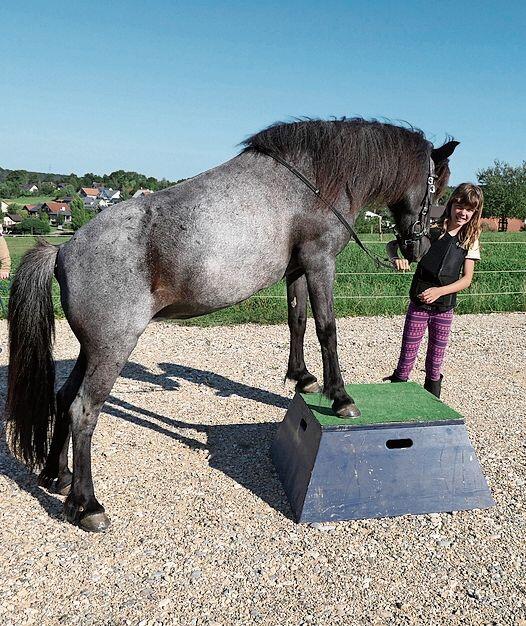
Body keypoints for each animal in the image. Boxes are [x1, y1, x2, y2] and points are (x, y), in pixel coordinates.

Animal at [3, 118, 458, 532]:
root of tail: (63, 250)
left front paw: (303, 377)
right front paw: (340, 397)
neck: (315, 181)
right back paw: (88, 505)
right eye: (439, 186)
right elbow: (326, 328)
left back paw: (58, 475)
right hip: (112, 349)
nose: (418, 246)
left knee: (64, 398)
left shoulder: (297, 270)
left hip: (92, 348)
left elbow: (297, 320)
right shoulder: (319, 261)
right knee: (83, 410)